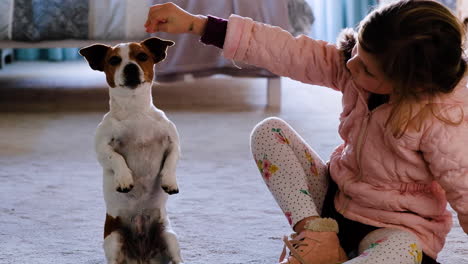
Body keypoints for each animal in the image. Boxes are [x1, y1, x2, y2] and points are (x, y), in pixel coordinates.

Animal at [79, 37, 184, 264]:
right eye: (114, 60)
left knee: (177, 259)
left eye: (142, 56)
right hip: (114, 240)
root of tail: (142, 258)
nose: (130, 67)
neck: (136, 111)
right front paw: (124, 179)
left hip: (169, 236)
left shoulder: (173, 143)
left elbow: (171, 162)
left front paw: (169, 181)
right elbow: (116, 157)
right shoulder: (102, 148)